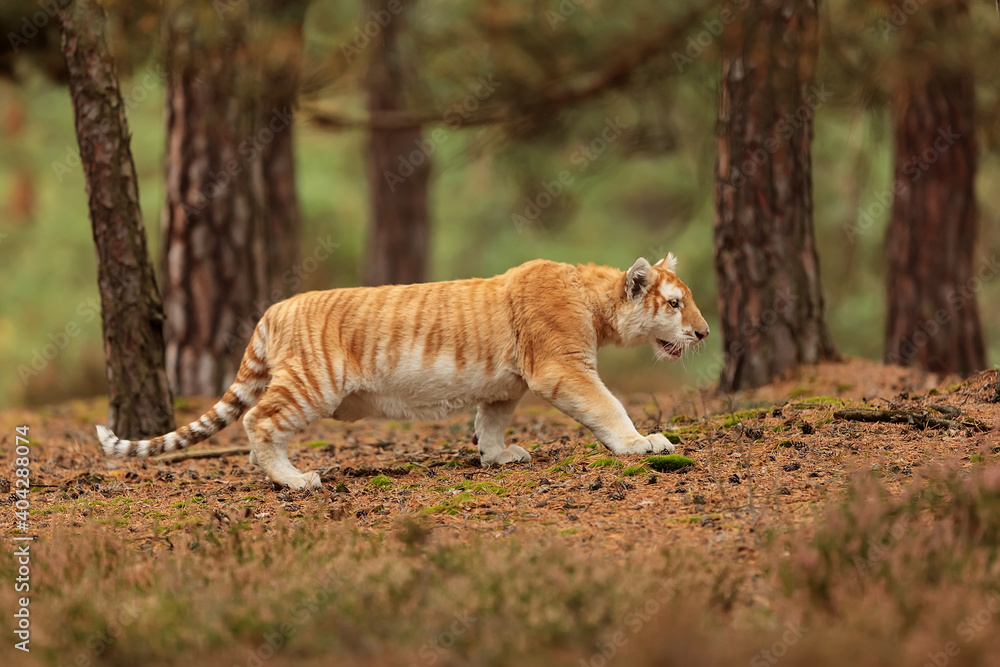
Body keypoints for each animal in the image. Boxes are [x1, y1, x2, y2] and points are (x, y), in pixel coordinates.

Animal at [97, 254, 709, 490]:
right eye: (676, 304)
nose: (704, 333)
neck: (595, 297)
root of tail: (273, 309)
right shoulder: (562, 368)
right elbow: (610, 405)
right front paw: (643, 444)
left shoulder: (506, 384)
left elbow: (491, 421)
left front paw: (497, 456)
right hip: (311, 385)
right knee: (260, 423)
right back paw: (296, 479)